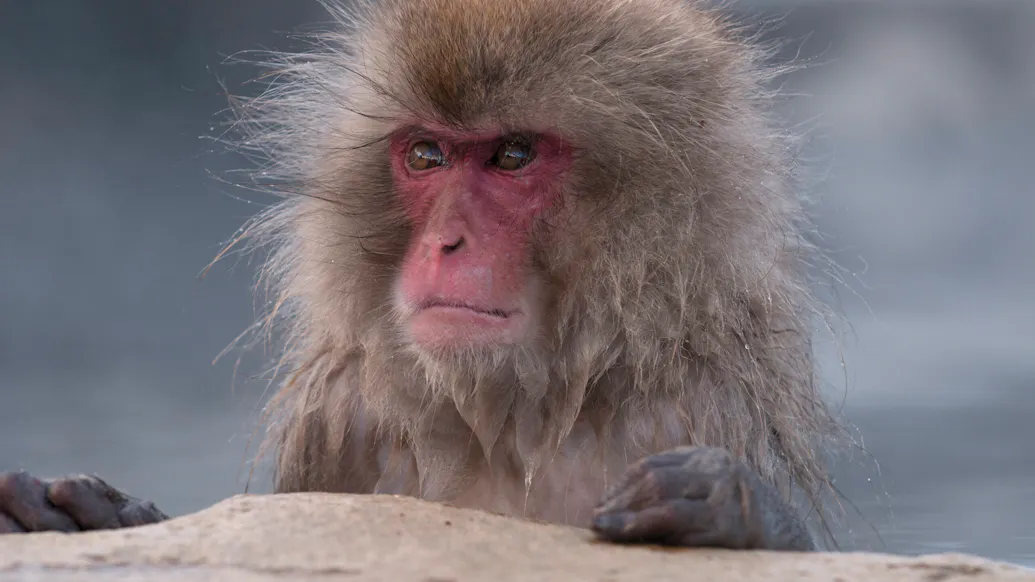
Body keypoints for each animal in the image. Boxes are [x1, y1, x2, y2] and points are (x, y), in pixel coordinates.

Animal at [0, 0, 843, 551]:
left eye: (511, 154)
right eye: (426, 156)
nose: (445, 243)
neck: (516, 412)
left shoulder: (685, 407)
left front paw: (738, 510)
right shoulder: (346, 417)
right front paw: (89, 513)